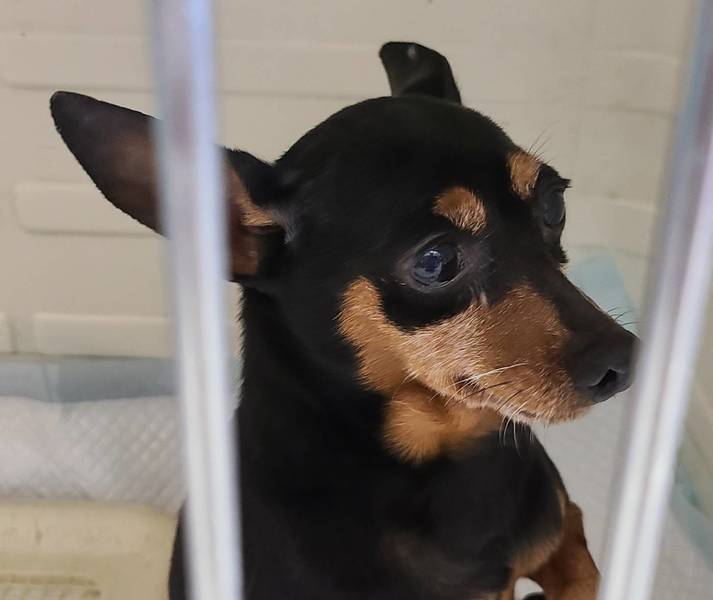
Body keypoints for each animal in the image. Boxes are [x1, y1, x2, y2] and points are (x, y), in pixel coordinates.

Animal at [50, 42, 636, 600]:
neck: (447, 455)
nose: (622, 359)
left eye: (554, 207)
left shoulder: (566, 528)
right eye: (435, 261)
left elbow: (586, 578)